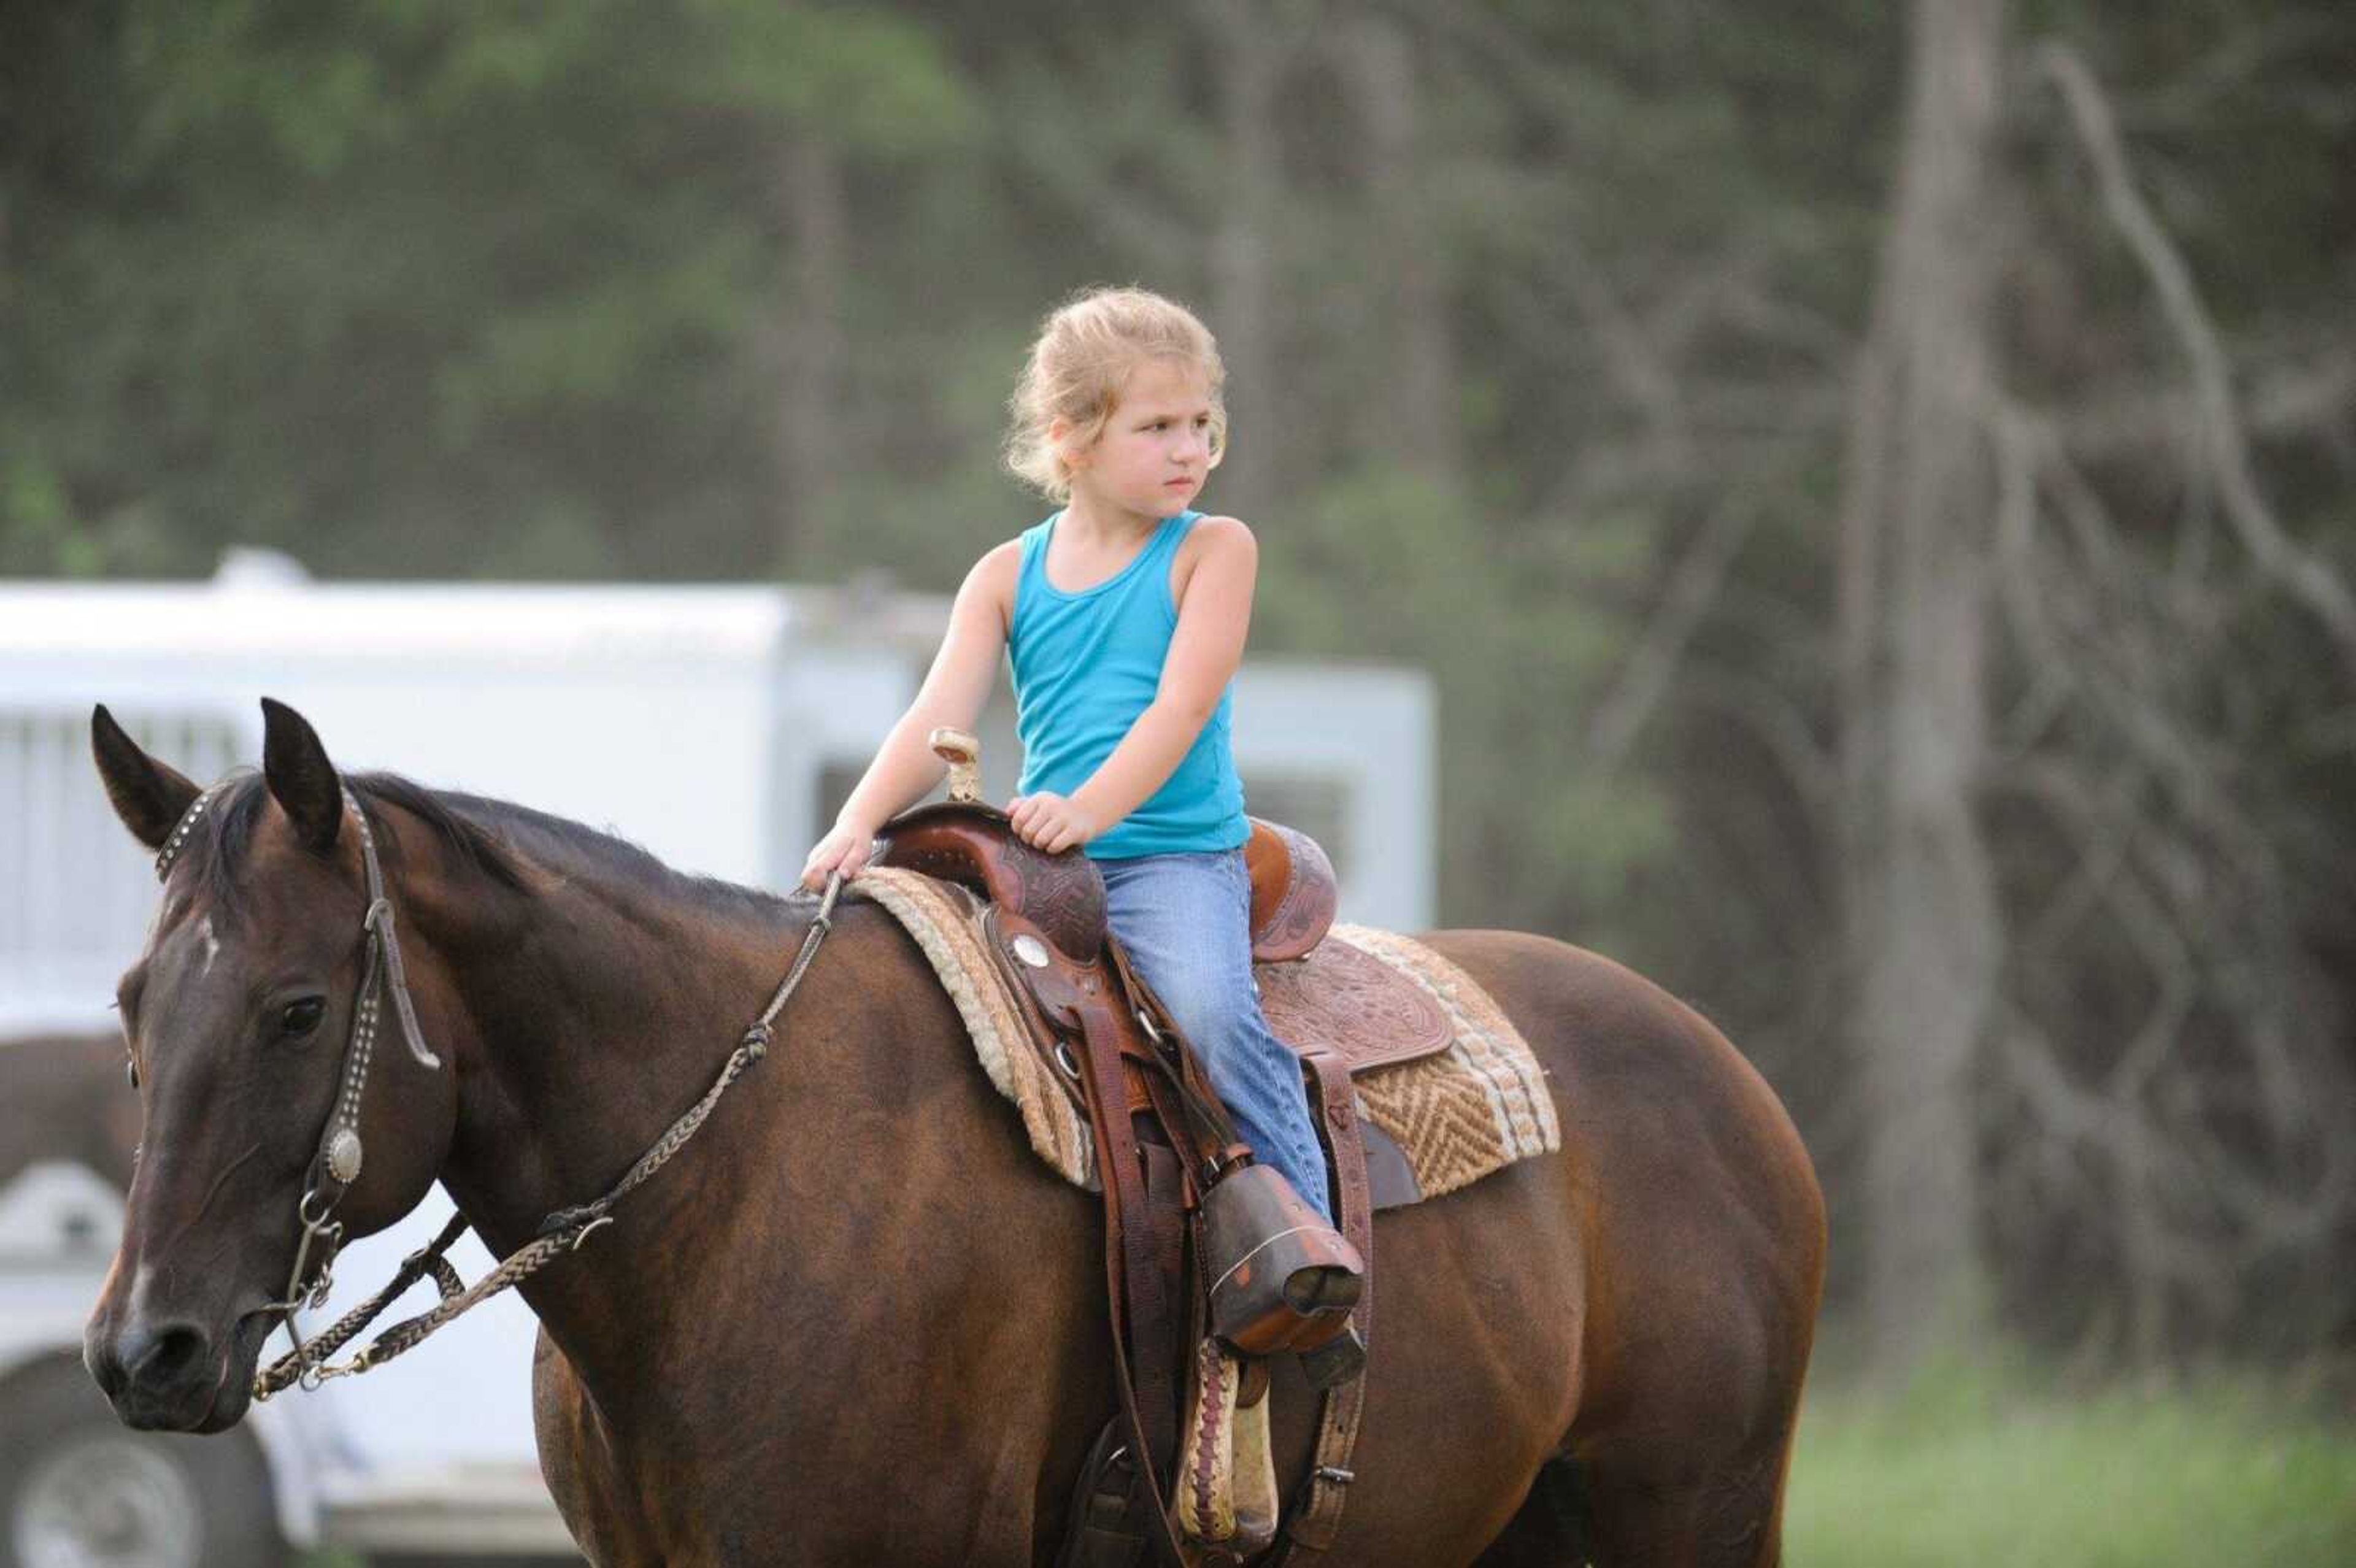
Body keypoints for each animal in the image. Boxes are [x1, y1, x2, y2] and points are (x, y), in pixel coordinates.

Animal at [83, 697, 1828, 1563]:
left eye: (297, 1008)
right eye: (131, 1001)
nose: (142, 1350)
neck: (731, 1185)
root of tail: (1736, 1085)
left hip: (1694, 1510)